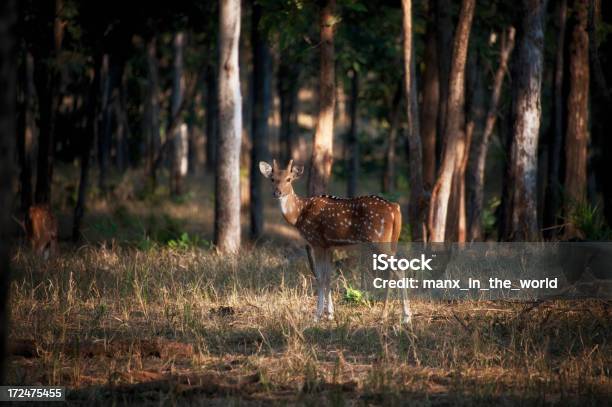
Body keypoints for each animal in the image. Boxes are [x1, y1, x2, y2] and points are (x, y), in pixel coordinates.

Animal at [258, 161, 412, 324]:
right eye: (272, 179)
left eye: (289, 179)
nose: (277, 193)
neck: (299, 214)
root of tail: (395, 208)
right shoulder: (329, 245)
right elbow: (328, 277)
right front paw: (330, 313)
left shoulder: (317, 242)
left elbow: (320, 277)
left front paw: (317, 316)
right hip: (390, 242)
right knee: (393, 269)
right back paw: (387, 315)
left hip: (378, 239)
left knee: (398, 267)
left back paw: (404, 317)